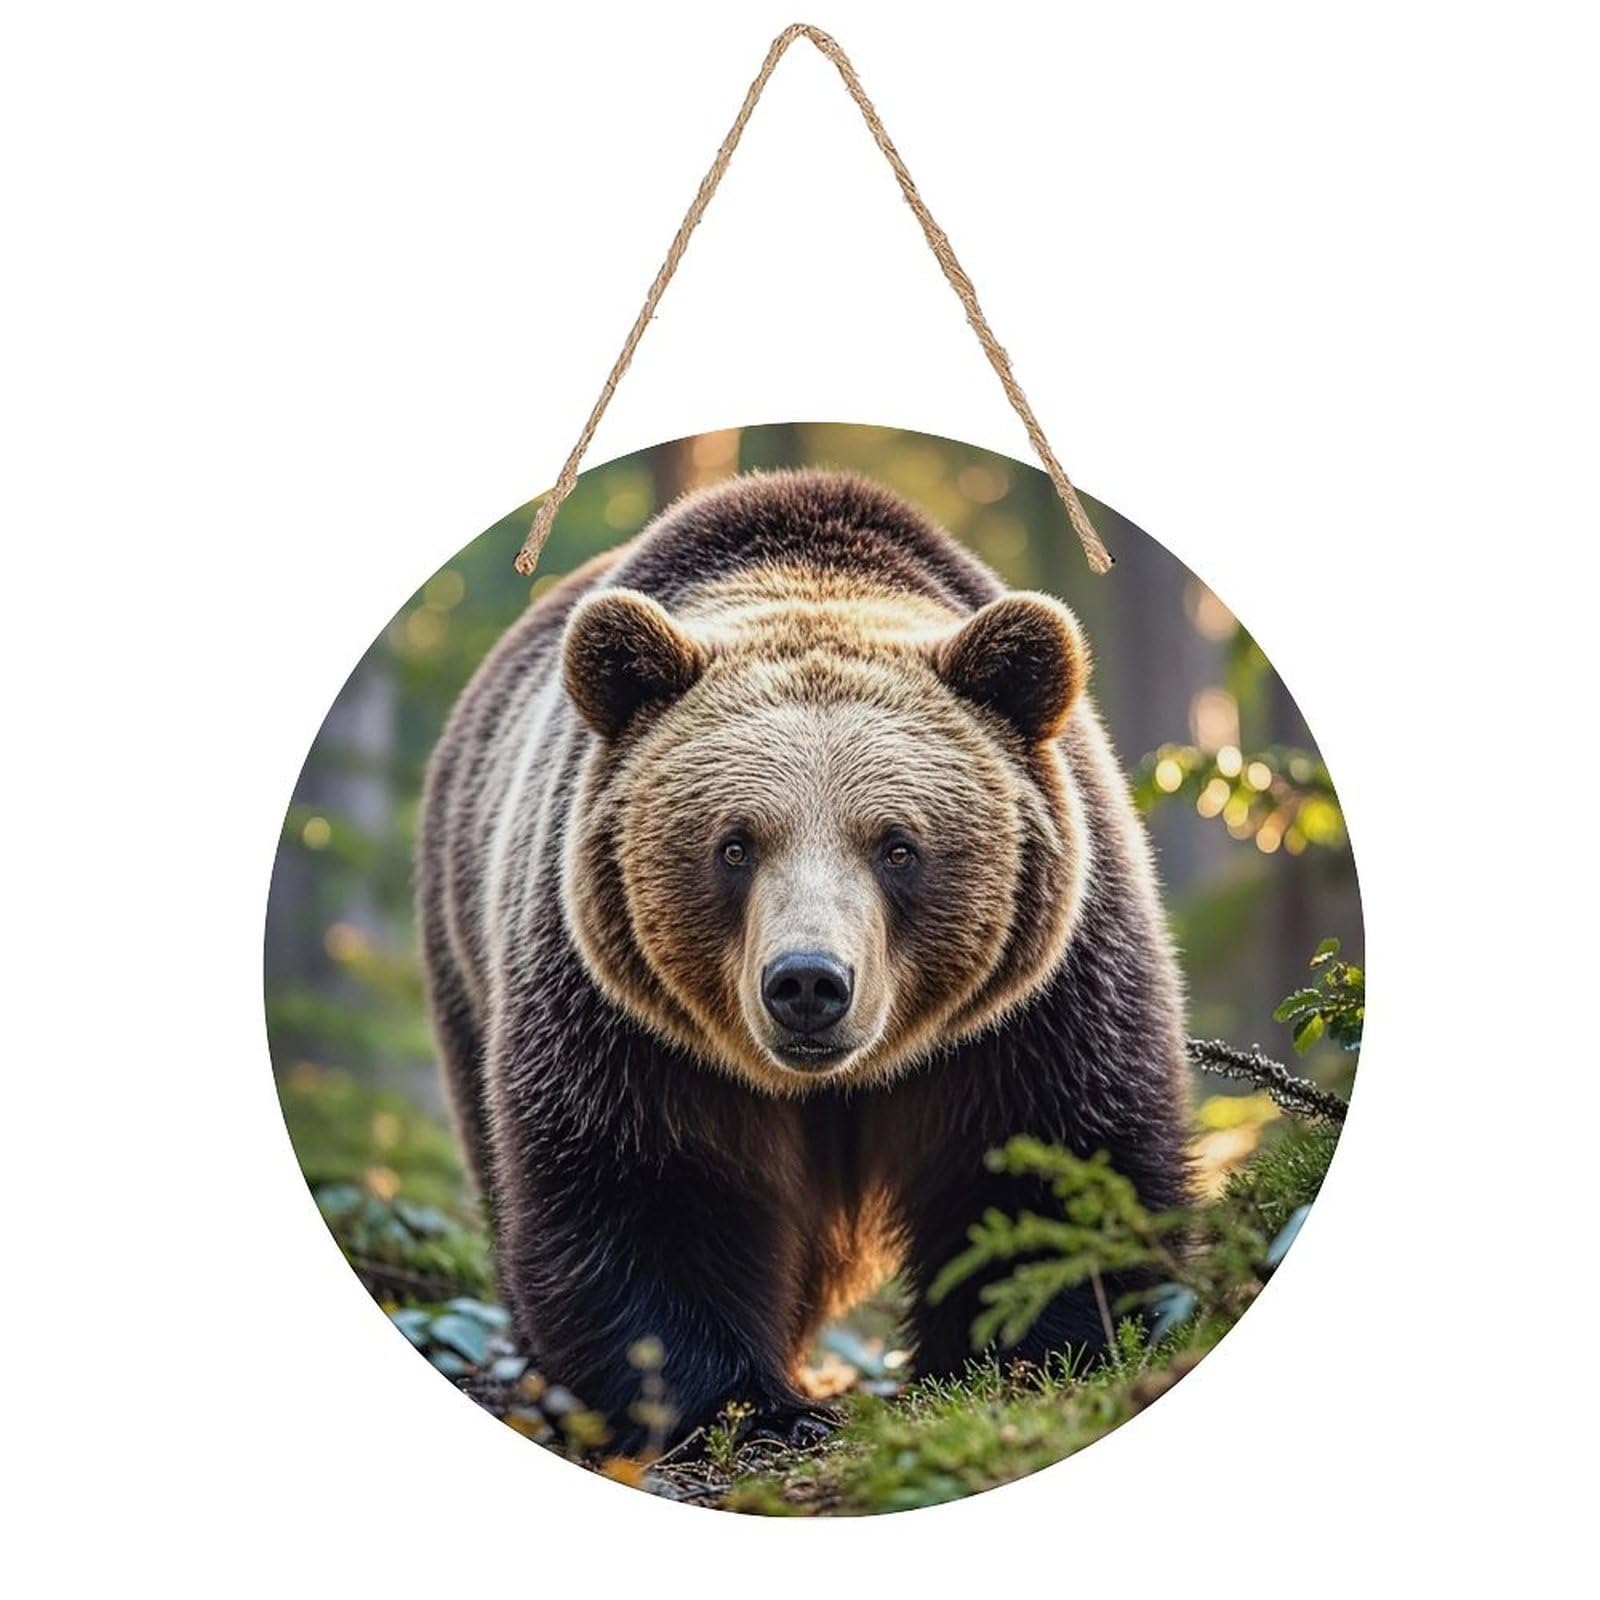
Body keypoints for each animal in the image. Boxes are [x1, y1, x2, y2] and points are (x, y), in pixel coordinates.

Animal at [417, 469, 1191, 1449]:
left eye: (898, 846)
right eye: (734, 844)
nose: (809, 984)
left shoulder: (1039, 998)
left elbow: (1051, 1157)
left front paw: (1027, 1351)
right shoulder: (621, 1017)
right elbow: (648, 1185)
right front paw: (749, 1405)